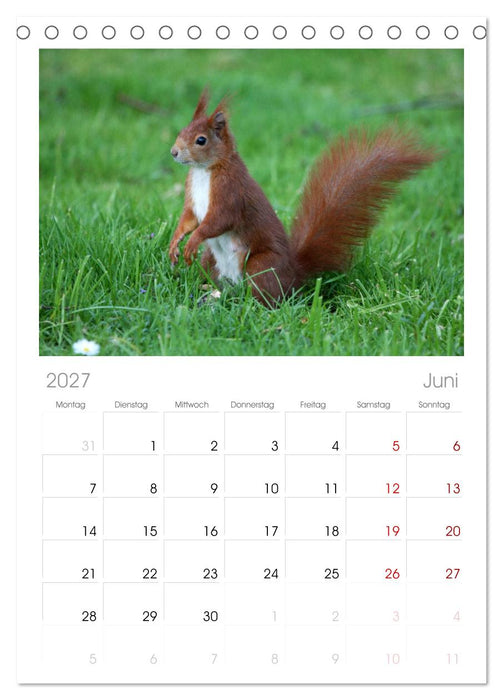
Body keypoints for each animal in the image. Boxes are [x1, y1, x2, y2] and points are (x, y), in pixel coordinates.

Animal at [169, 88, 438, 305]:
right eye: (181, 131)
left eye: (201, 140)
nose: (173, 152)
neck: (204, 171)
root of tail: (294, 274)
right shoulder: (193, 197)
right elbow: (189, 218)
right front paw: (176, 242)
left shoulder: (230, 193)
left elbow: (217, 221)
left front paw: (193, 240)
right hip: (211, 260)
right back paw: (211, 293)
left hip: (260, 265)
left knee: (266, 297)